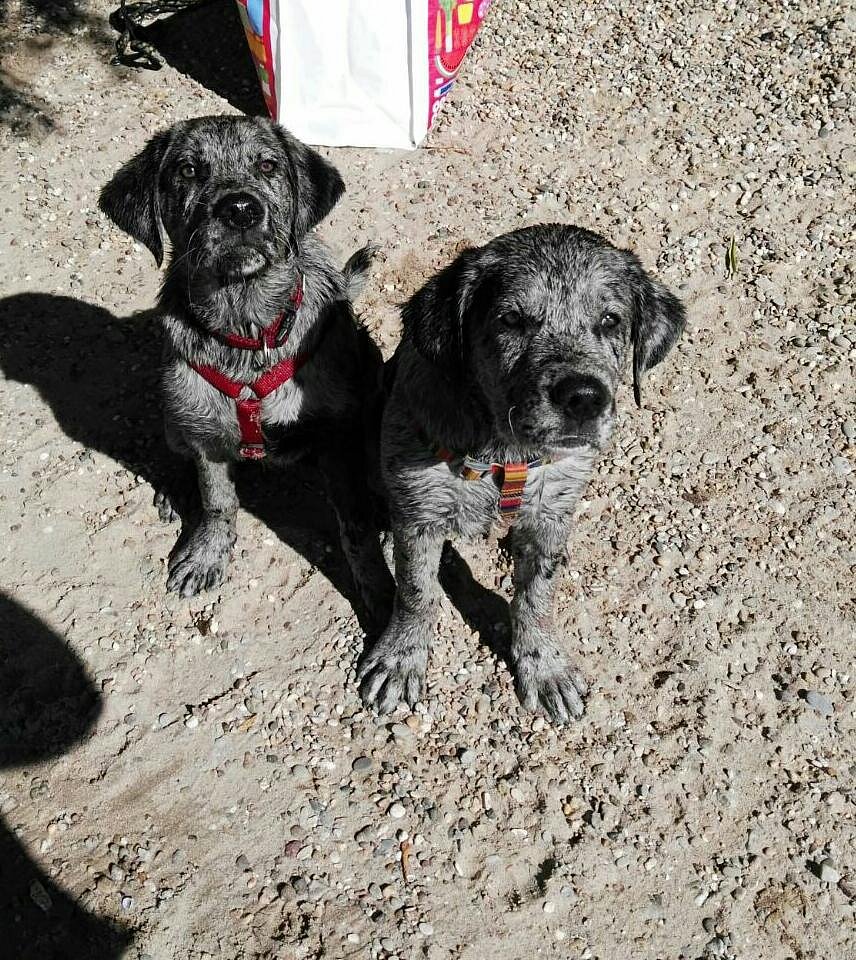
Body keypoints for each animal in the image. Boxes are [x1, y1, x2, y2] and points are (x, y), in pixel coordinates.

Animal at [101, 114, 394, 632]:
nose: (239, 209)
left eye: (268, 165)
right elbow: (218, 501)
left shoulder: (337, 439)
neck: (249, 333)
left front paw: (377, 588)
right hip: (173, 415)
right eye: (188, 170)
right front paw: (206, 554)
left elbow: (355, 524)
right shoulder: (203, 432)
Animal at [362, 223, 688, 720]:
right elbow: (417, 592)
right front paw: (400, 658)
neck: (505, 452)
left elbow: (536, 596)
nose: (584, 397)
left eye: (611, 321)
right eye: (511, 320)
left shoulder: (552, 509)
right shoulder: (420, 511)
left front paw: (544, 666)